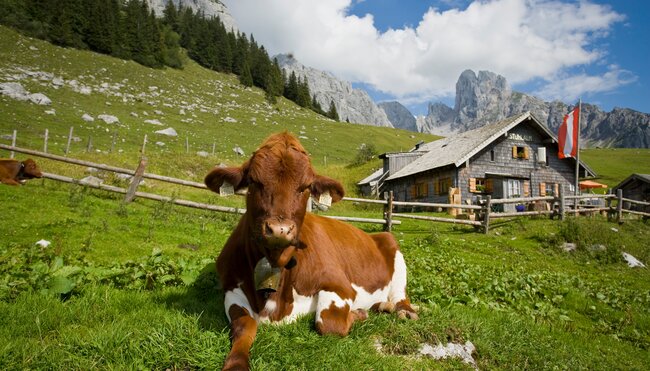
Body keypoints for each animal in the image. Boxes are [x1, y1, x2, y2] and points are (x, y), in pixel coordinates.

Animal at [205, 132, 418, 370]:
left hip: (393, 248)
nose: (280, 229)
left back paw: (401, 310)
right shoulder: (231, 286)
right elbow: (245, 324)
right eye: (253, 181)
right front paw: (236, 362)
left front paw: (359, 313)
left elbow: (329, 324)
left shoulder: (340, 285)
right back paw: (381, 305)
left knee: (400, 296)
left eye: (305, 186)